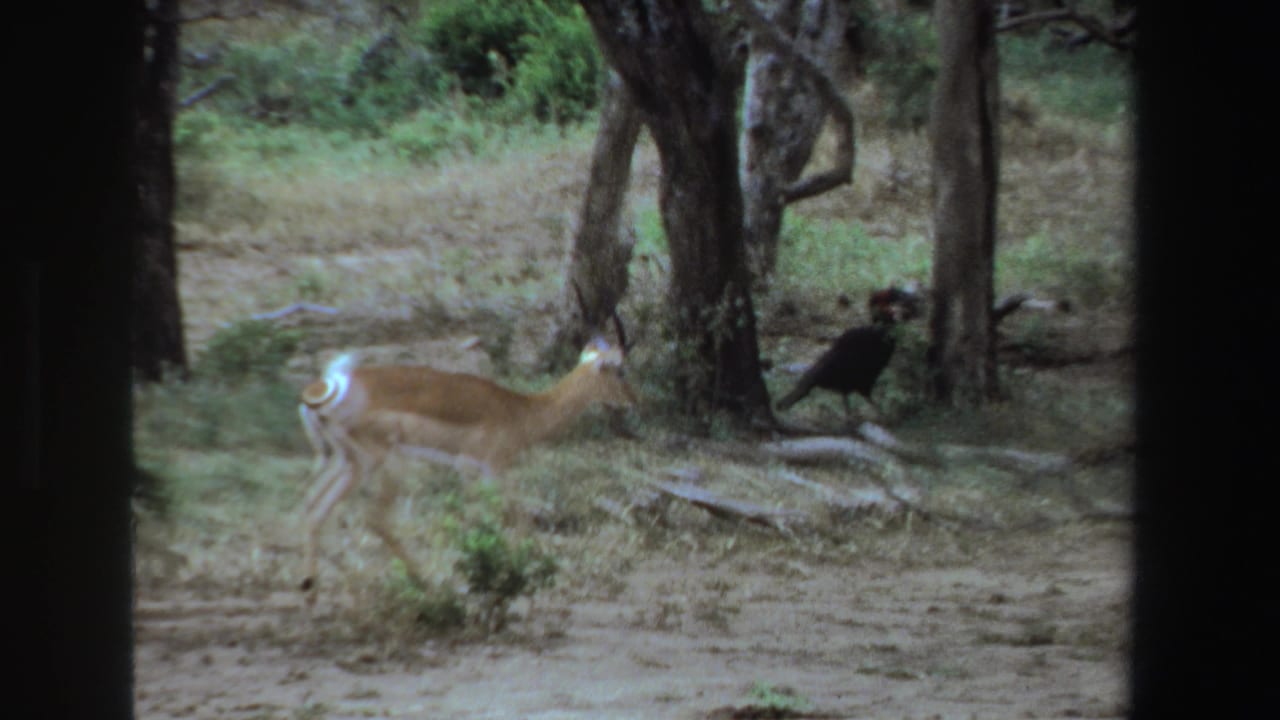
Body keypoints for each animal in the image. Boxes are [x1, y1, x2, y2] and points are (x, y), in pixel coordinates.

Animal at [297, 335, 636, 598]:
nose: (634, 400)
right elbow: (506, 519)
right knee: (373, 518)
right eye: (619, 370)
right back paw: (425, 583)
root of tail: (321, 390)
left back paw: (313, 589)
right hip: (385, 463)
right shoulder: (481, 469)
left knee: (314, 506)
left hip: (346, 462)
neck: (521, 411)